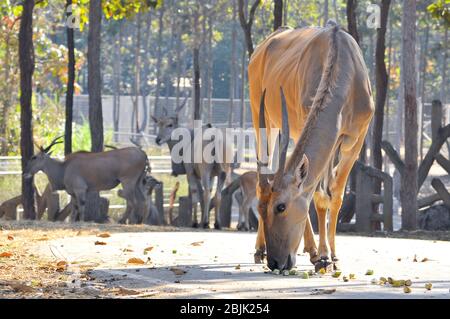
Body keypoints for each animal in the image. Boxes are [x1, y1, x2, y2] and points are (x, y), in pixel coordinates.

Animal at [250, 21, 372, 272]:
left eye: (281, 207)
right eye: (261, 208)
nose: (276, 262)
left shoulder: (353, 142)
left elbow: (335, 193)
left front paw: (332, 255)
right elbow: (318, 195)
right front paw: (323, 256)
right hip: (262, 120)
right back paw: (265, 250)